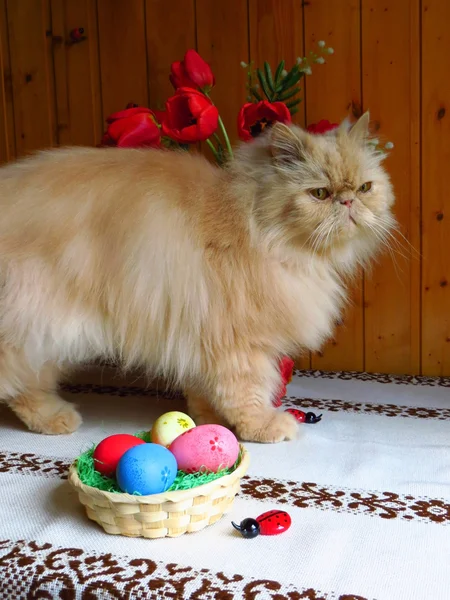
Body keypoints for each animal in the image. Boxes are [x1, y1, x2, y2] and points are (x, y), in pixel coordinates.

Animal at [0, 113, 394, 440]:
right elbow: (247, 392)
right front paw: (263, 426)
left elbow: (204, 393)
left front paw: (208, 421)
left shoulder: (198, 334)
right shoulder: (237, 339)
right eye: (320, 194)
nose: (348, 202)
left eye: (364, 188)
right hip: (43, 324)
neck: (252, 221)